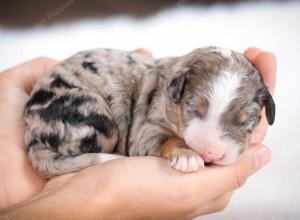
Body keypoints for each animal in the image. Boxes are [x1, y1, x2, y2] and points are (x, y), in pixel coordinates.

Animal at [24, 46, 276, 179]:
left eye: (247, 121)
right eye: (192, 108)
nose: (212, 153)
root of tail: (31, 138)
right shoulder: (144, 129)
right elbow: (166, 137)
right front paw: (186, 156)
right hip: (96, 118)